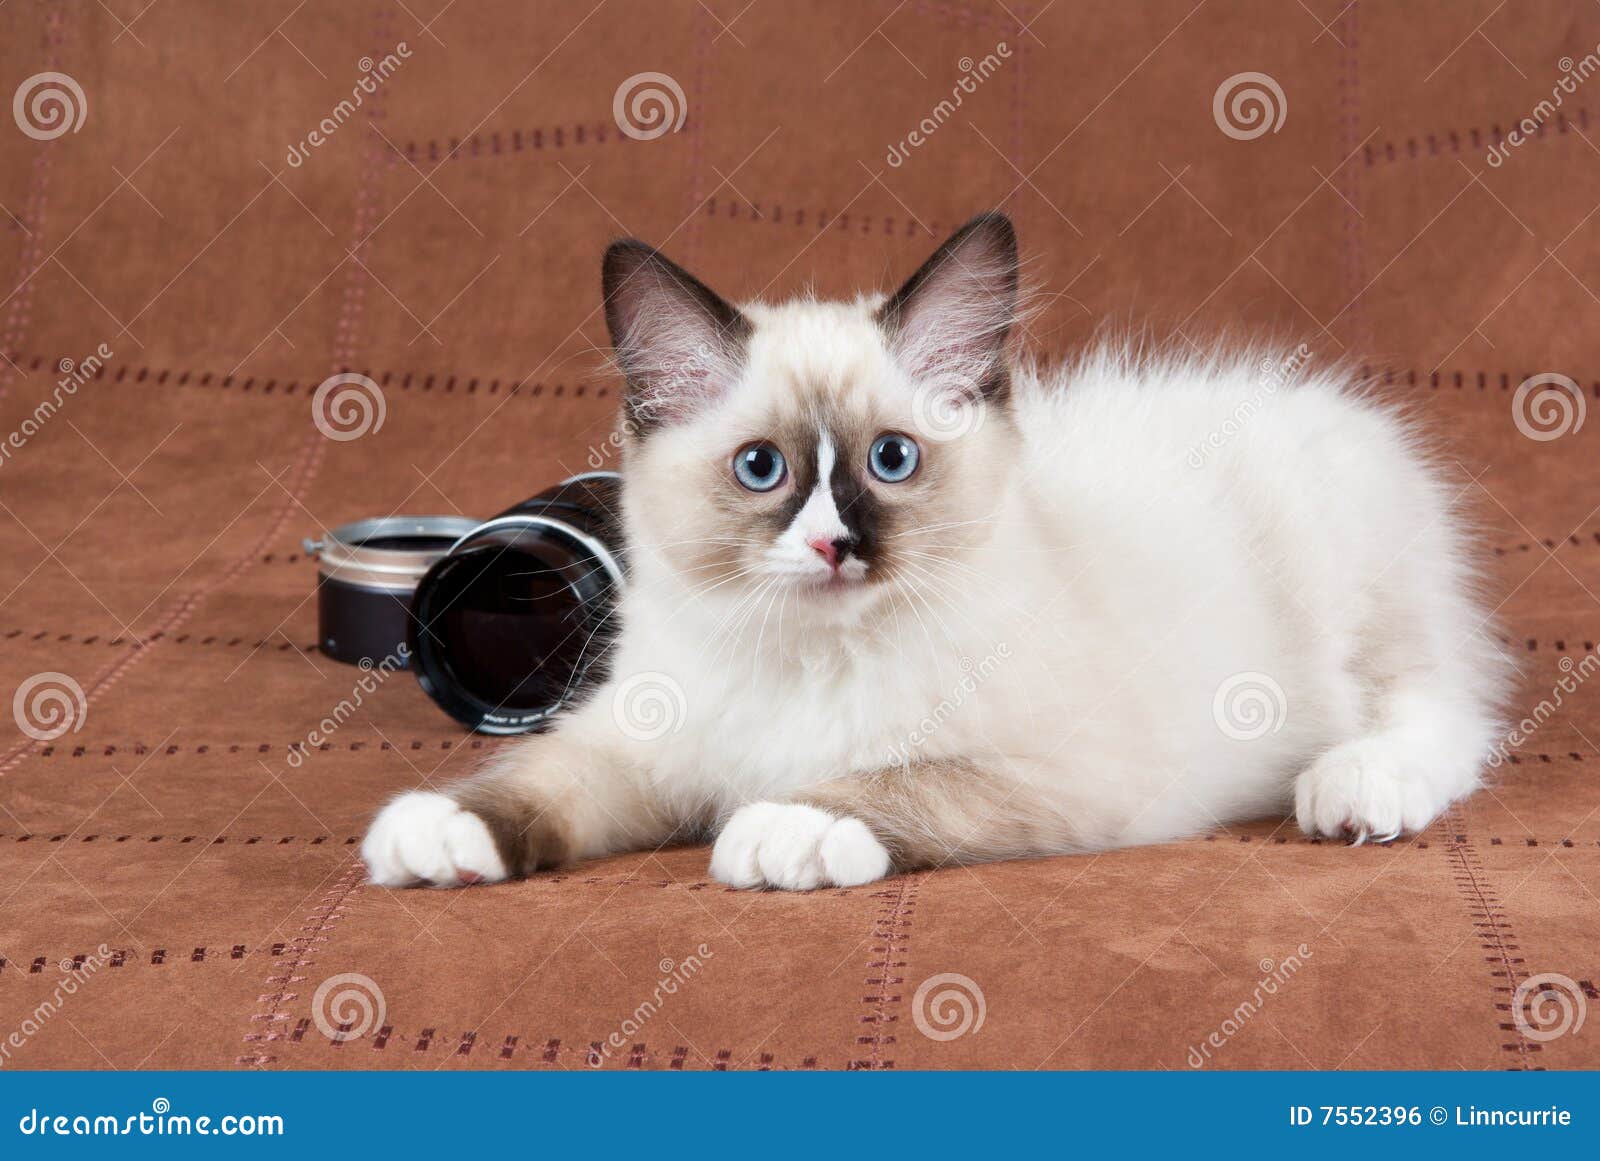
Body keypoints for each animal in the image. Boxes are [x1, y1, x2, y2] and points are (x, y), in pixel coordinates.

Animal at [363, 214, 1510, 895]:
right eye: (761, 471)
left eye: (891, 459)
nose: (835, 544)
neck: (807, 662)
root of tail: (1321, 402)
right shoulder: (639, 747)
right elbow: (536, 779)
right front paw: (436, 833)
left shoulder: (1055, 774)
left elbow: (888, 783)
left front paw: (781, 829)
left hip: (1360, 608)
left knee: (1448, 713)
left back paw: (1353, 790)